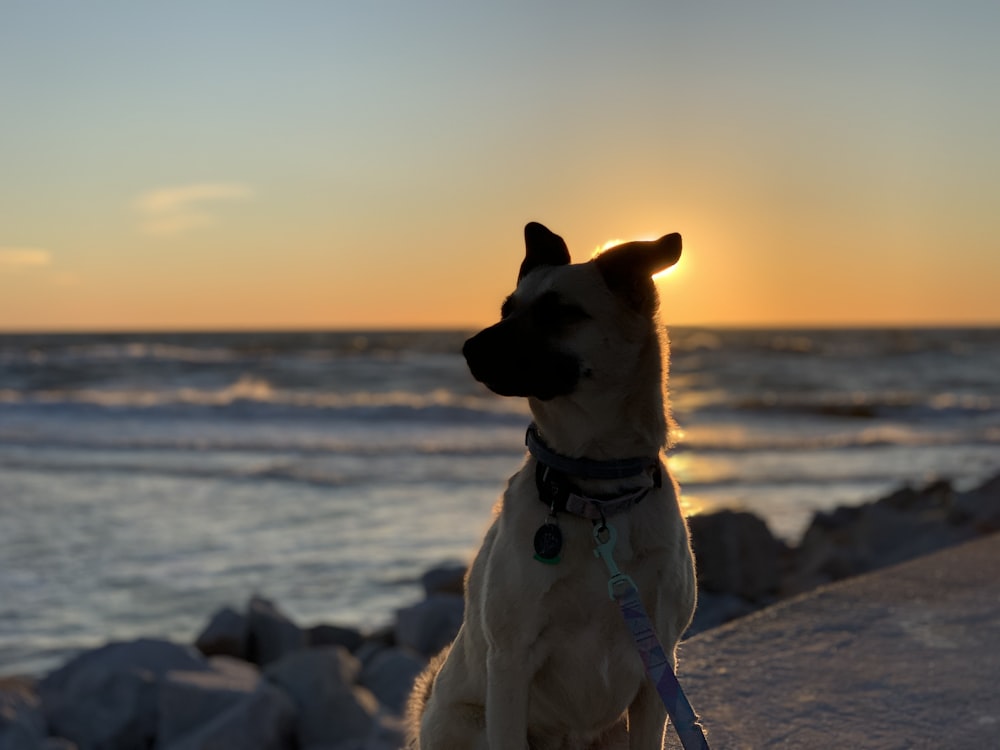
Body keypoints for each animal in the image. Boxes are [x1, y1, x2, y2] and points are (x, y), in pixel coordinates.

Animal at [406, 220, 696, 748]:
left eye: (559, 313)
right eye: (507, 309)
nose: (469, 348)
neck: (595, 496)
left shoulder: (657, 664)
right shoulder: (509, 663)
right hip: (470, 724)